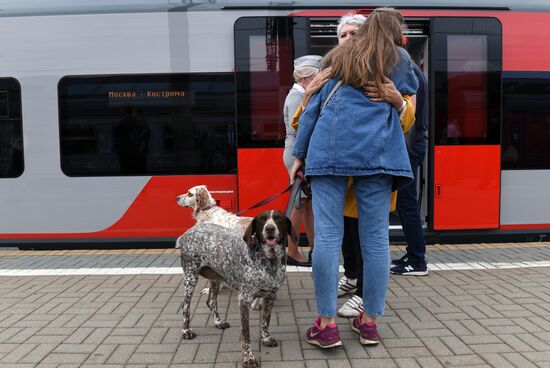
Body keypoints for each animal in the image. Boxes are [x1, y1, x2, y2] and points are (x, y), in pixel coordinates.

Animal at [178, 210, 298, 368]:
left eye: (279, 219)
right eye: (262, 219)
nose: (270, 228)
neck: (269, 261)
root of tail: (187, 232)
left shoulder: (270, 296)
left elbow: (265, 321)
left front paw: (265, 339)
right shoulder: (244, 300)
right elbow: (246, 334)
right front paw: (248, 359)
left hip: (216, 278)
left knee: (211, 301)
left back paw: (218, 322)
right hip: (190, 277)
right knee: (186, 307)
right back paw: (186, 331)